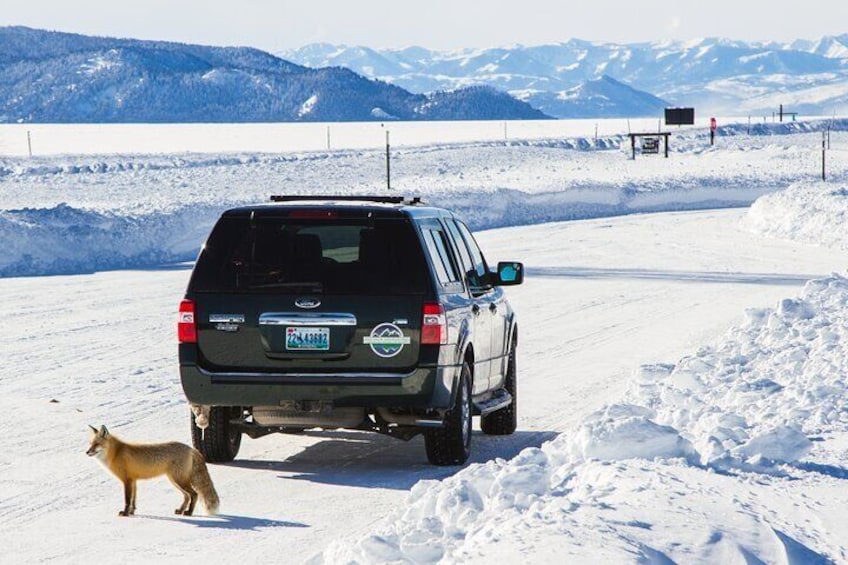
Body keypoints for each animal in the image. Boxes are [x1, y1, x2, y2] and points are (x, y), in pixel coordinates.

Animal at [85, 426, 219, 516]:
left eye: (96, 444)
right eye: (90, 443)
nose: (87, 452)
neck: (116, 453)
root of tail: (190, 448)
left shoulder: (127, 480)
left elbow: (127, 499)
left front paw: (125, 513)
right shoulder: (133, 480)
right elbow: (134, 499)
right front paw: (132, 512)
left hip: (178, 480)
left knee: (194, 494)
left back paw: (189, 512)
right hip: (175, 480)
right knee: (187, 496)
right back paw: (180, 510)